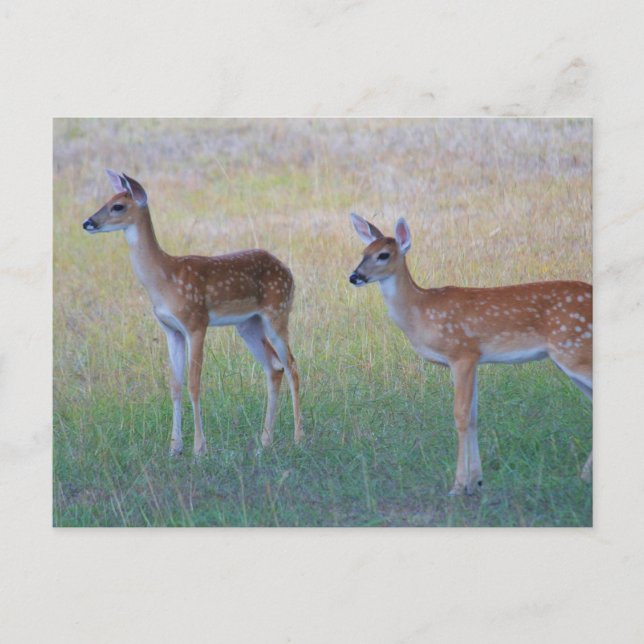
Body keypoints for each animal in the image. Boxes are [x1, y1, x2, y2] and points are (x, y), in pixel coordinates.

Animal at [82, 170, 303, 456]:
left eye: (118, 206)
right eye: (106, 200)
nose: (87, 222)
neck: (164, 278)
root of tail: (288, 271)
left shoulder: (196, 322)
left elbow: (193, 383)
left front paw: (199, 448)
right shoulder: (171, 330)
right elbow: (175, 385)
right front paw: (174, 447)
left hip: (278, 312)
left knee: (292, 365)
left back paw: (299, 436)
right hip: (248, 324)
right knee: (274, 367)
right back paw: (265, 441)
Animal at [349, 213, 592, 495]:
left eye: (384, 255)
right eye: (364, 252)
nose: (355, 276)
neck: (420, 311)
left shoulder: (462, 352)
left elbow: (461, 416)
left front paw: (458, 486)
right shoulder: (474, 358)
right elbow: (474, 416)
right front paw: (476, 481)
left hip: (574, 348)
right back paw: (584, 476)